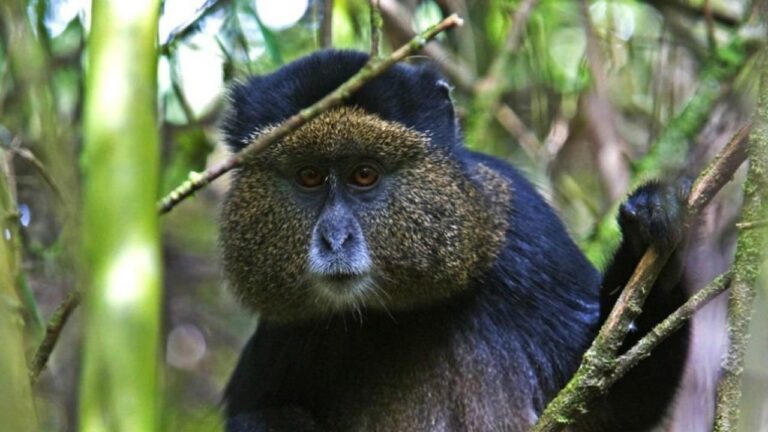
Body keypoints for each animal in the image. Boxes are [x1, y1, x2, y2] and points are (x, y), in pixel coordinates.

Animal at [218, 50, 690, 432]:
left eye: (364, 175)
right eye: (310, 177)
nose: (335, 238)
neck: (391, 312)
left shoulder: (523, 233)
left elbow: (607, 398)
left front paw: (653, 229)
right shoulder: (285, 325)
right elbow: (254, 412)